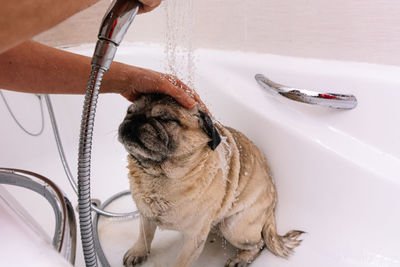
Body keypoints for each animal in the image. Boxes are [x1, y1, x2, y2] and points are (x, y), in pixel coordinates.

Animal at [119, 94, 304, 267]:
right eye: (129, 112)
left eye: (165, 119)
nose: (136, 119)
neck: (158, 176)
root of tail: (272, 205)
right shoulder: (145, 215)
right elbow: (145, 235)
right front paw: (138, 252)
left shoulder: (194, 238)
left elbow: (181, 262)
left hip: (233, 227)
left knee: (259, 244)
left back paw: (240, 259)